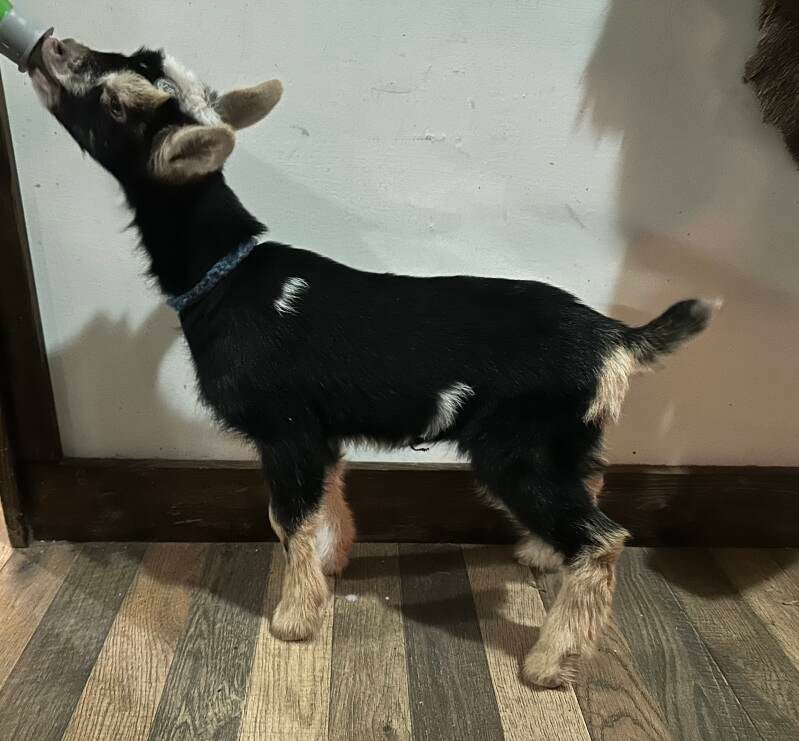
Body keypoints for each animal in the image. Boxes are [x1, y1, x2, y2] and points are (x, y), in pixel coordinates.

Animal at [30, 36, 717, 688]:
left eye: (117, 105)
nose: (51, 46)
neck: (229, 278)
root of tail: (616, 338)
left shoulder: (283, 431)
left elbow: (287, 520)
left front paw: (294, 619)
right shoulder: (320, 433)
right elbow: (327, 500)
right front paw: (333, 565)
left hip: (514, 446)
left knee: (602, 539)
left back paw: (549, 662)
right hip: (573, 436)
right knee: (591, 491)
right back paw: (543, 556)